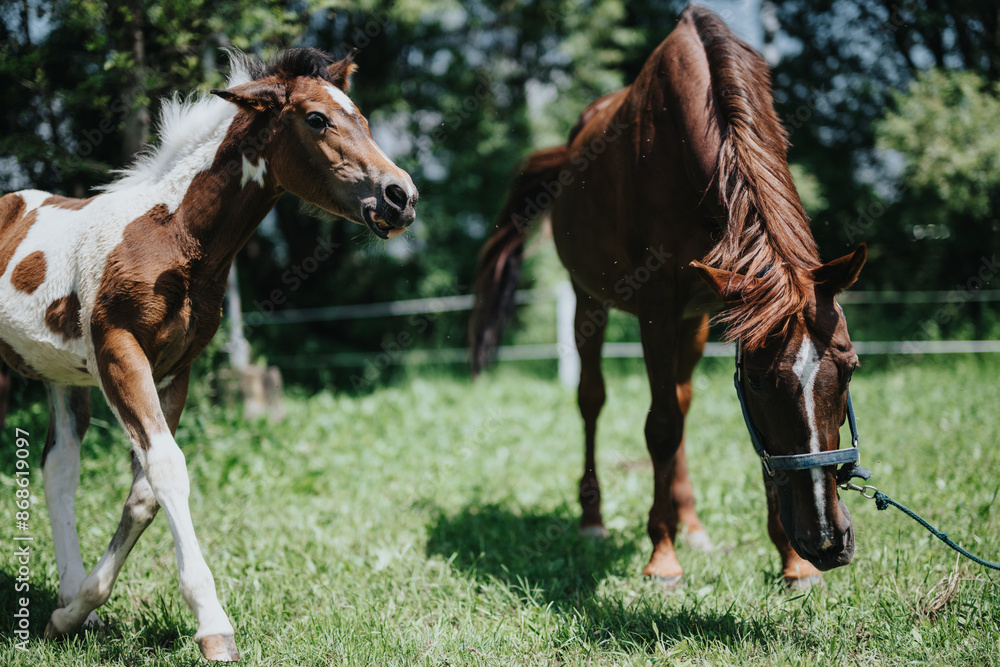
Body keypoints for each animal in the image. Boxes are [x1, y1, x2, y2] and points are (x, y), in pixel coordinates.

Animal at [0, 48, 417, 661]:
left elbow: (144, 491)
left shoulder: (176, 370)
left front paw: (70, 615)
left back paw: (72, 602)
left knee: (58, 469)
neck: (173, 238)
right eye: (316, 119)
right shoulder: (118, 353)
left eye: (361, 116)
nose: (400, 196)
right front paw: (214, 626)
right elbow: (168, 470)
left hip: (60, 378)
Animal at [470, 5, 866, 589]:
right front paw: (662, 555)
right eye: (758, 382)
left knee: (679, 398)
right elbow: (659, 426)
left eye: (851, 368)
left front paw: (790, 561)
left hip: (692, 320)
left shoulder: (717, 306)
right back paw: (594, 520)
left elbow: (707, 425)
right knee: (594, 399)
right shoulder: (656, 303)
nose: (824, 540)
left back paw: (693, 523)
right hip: (589, 299)